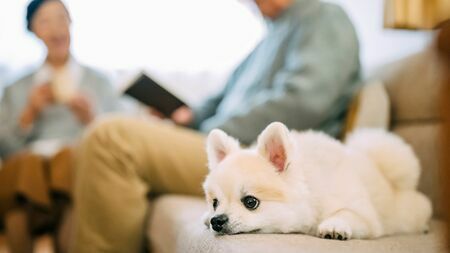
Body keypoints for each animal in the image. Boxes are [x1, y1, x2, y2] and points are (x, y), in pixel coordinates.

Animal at [201, 121, 432, 240]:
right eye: (215, 203)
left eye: (250, 202)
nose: (216, 220)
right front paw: (205, 217)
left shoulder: (365, 216)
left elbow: (348, 213)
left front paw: (334, 226)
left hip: (407, 213)